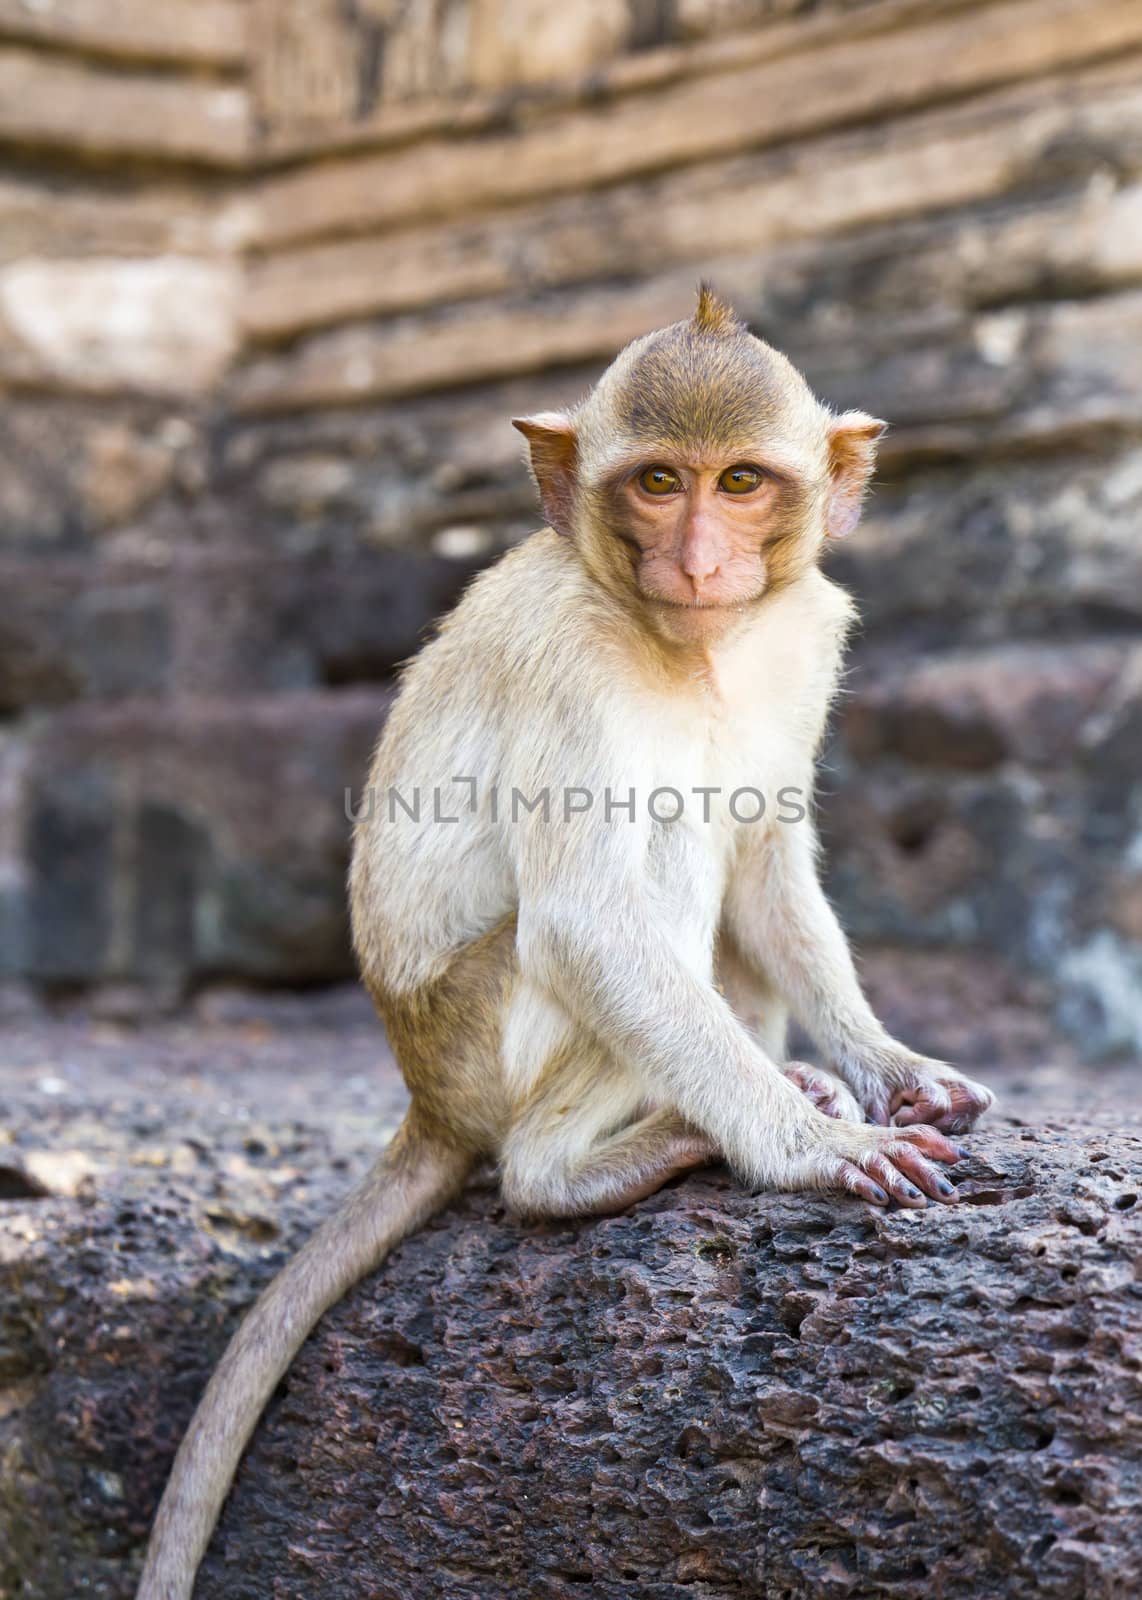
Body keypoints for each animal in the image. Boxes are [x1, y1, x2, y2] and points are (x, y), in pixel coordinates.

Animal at [137, 291, 985, 1600]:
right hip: (485, 1029)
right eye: (656, 482)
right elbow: (590, 913)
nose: (697, 557)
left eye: (740, 480)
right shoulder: (569, 661)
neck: (690, 645)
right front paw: (811, 1150)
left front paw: (891, 1069)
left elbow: (766, 858)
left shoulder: (802, 639)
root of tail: (428, 1096)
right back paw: (596, 1160)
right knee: (652, 861)